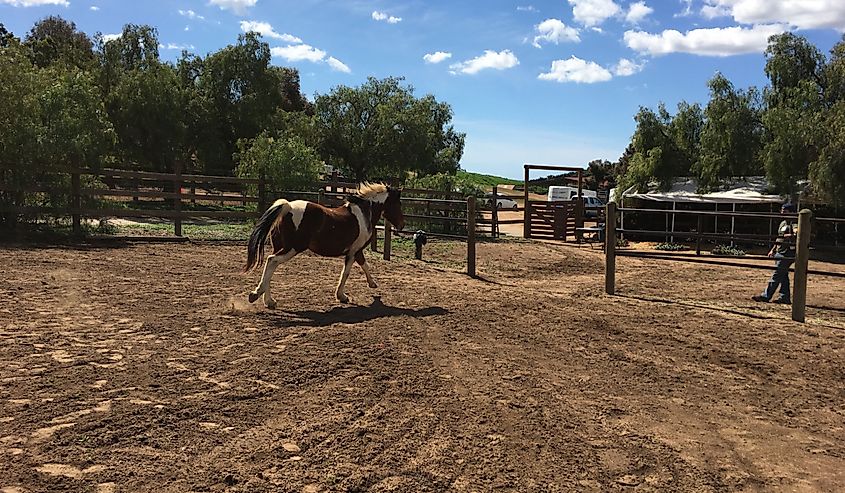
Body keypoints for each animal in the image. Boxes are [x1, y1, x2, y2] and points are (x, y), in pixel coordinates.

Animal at [242, 183, 404, 306]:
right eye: (397, 203)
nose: (401, 225)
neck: (364, 215)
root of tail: (287, 207)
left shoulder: (356, 251)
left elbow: (363, 265)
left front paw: (371, 285)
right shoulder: (353, 251)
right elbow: (347, 272)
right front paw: (342, 296)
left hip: (280, 247)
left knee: (271, 266)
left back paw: (269, 301)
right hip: (293, 248)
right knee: (272, 261)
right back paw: (256, 294)